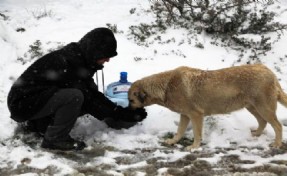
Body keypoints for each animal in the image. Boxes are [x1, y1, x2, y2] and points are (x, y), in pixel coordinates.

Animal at [129, 64, 287, 149]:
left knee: (278, 126)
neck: (166, 87)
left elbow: (196, 134)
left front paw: (194, 147)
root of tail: (268, 70)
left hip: (263, 108)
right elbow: (179, 131)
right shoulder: (185, 115)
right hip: (253, 107)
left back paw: (277, 144)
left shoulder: (196, 115)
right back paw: (256, 134)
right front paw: (173, 141)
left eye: (131, 100)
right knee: (263, 122)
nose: (128, 111)